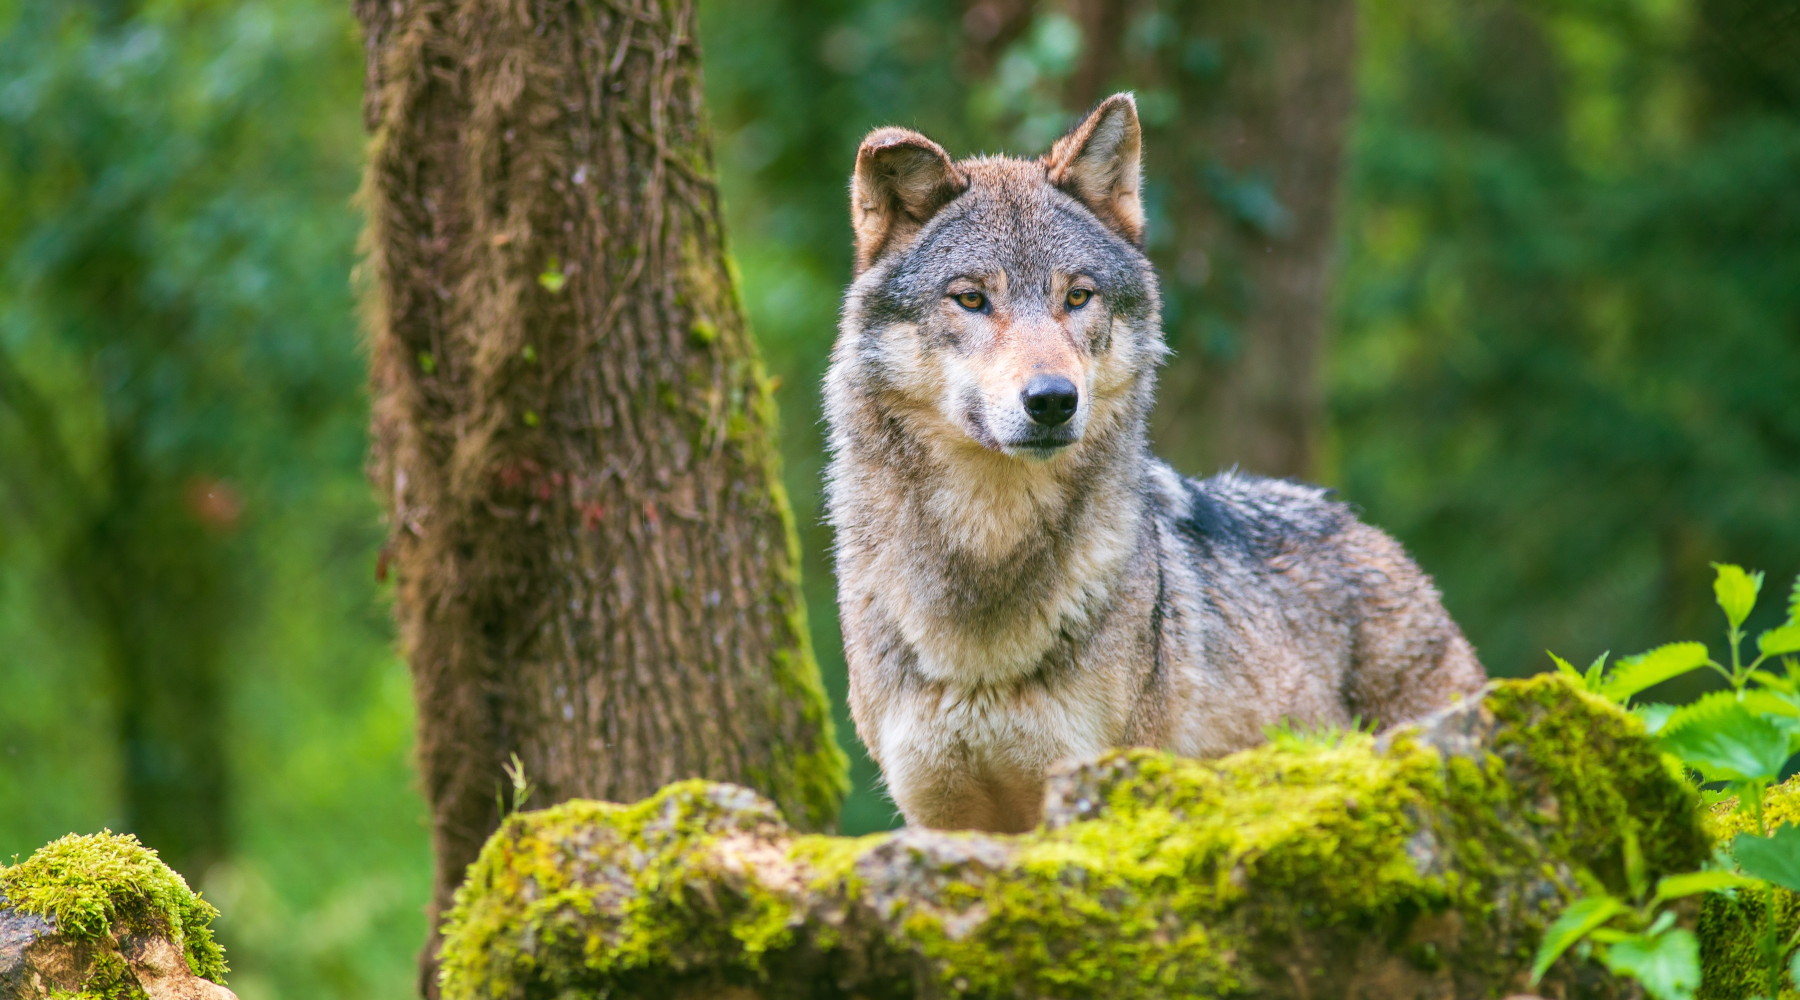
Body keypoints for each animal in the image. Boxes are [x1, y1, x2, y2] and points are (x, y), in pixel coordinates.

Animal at [824, 93, 1486, 834]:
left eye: (1077, 297)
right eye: (971, 299)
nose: (1052, 400)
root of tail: (1359, 526)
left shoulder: (1097, 789)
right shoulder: (941, 819)